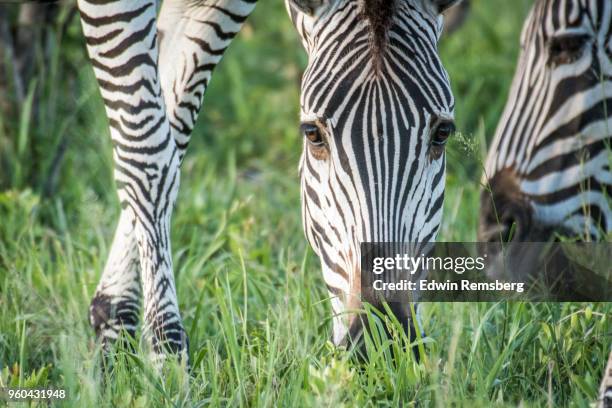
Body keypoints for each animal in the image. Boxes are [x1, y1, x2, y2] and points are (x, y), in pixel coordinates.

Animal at [76, 0, 460, 364]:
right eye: (312, 134)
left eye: (443, 133)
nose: (381, 341)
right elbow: (148, 150)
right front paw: (165, 353)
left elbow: (172, 120)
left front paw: (113, 323)